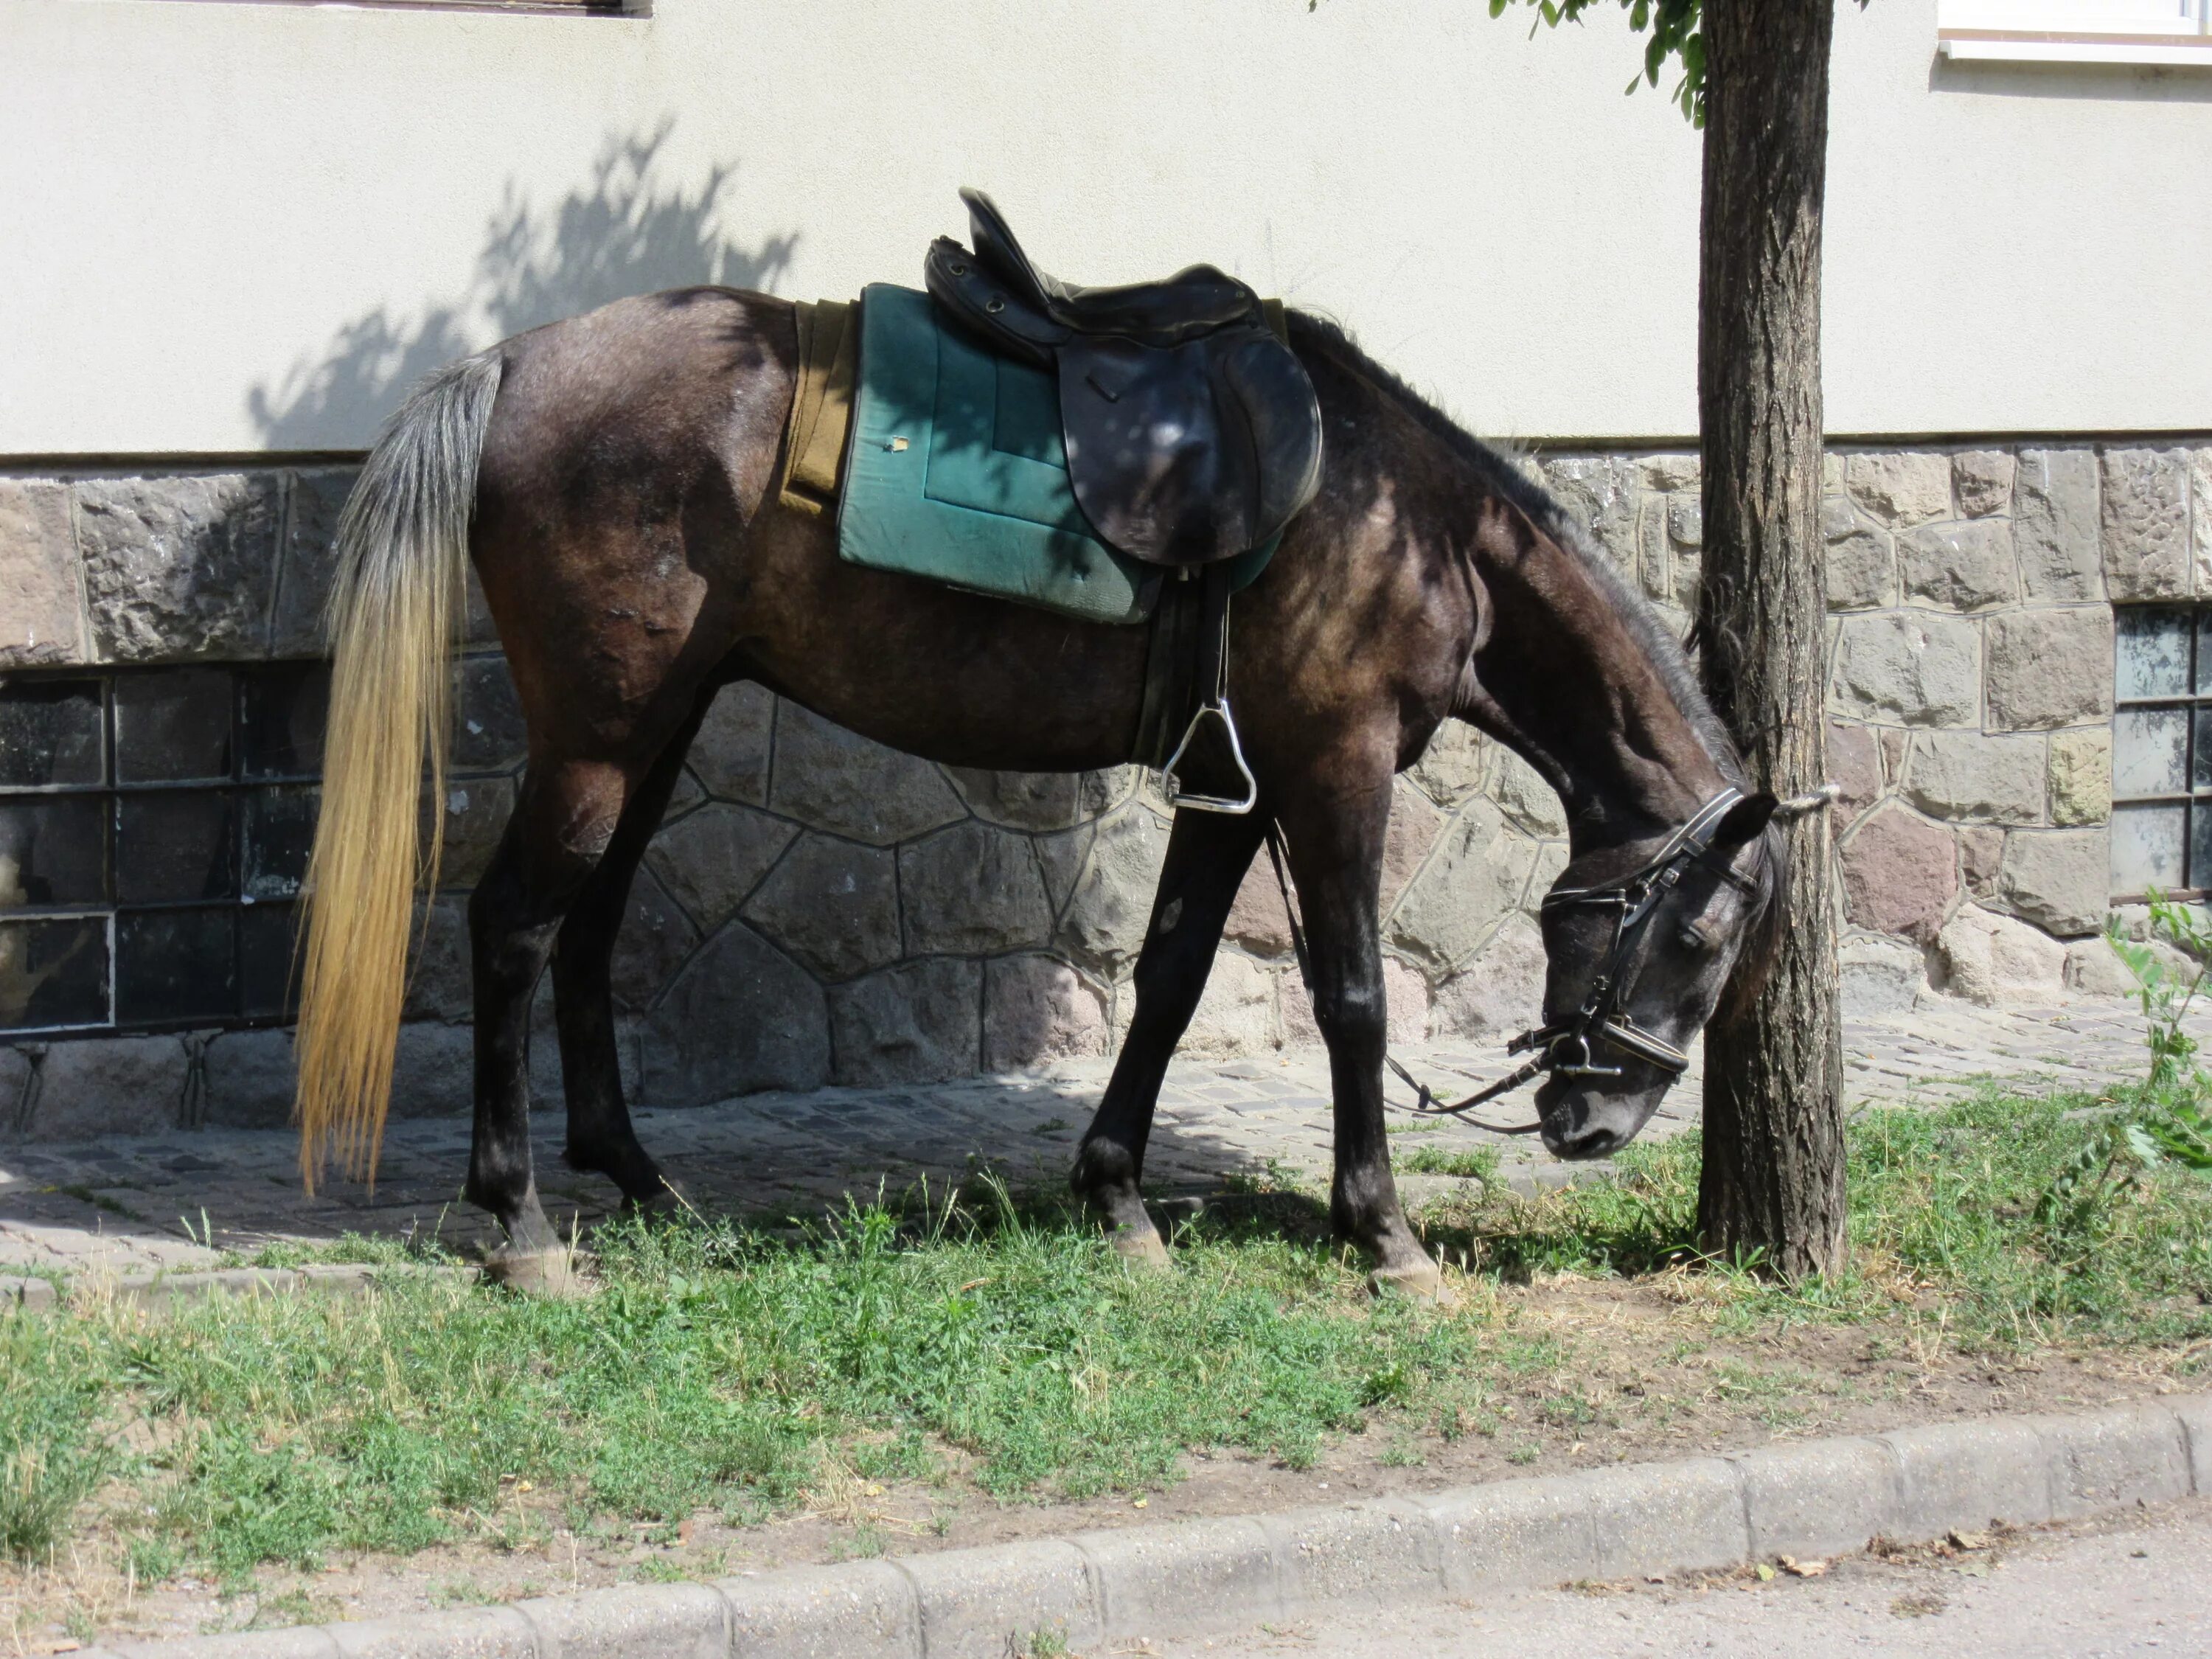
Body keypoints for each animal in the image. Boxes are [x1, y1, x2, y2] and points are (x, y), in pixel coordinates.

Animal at [290, 283, 1796, 1301]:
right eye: (1706, 931)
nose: (1597, 1123)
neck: (1407, 523)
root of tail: (514, 361)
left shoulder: (1238, 789)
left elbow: (1174, 980)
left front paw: (1116, 1195)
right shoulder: (1335, 771)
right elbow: (1355, 1001)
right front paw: (1383, 1232)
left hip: (652, 728)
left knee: (589, 933)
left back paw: (637, 1176)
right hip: (603, 739)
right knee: (514, 929)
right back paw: (520, 1222)